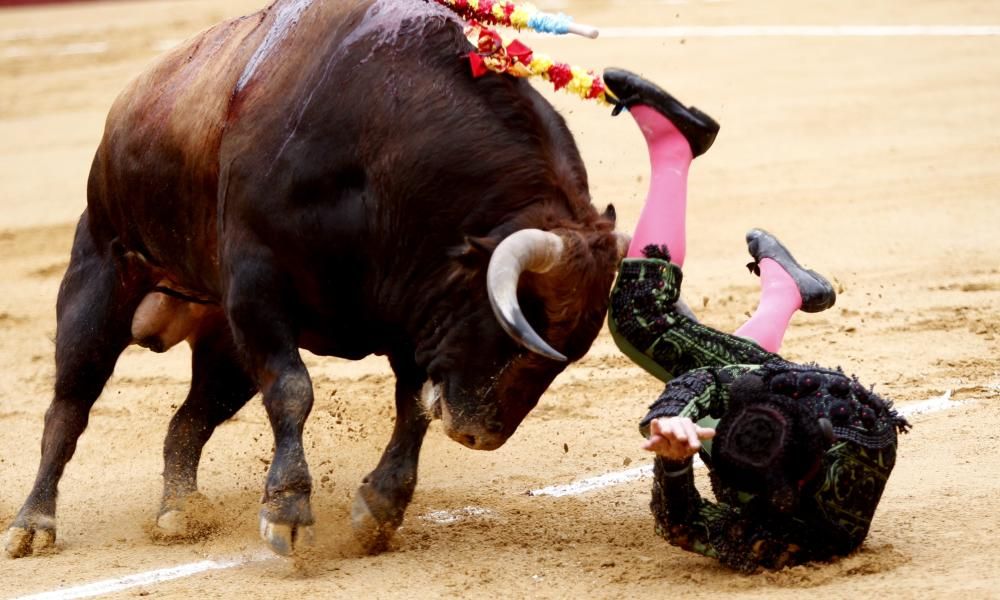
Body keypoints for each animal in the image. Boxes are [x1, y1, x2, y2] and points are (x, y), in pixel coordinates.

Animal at [1, 0, 624, 556]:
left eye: (569, 353)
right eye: (518, 320)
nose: (481, 435)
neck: (383, 151)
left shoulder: (416, 316)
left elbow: (413, 406)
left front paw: (379, 510)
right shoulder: (259, 291)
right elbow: (294, 390)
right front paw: (288, 511)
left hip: (225, 346)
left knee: (187, 421)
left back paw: (179, 511)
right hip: (99, 282)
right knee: (68, 409)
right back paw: (33, 524)